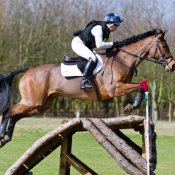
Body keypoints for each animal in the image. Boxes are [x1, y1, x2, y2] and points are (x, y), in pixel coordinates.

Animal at [0, 28, 175, 148]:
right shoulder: (115, 89)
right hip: (32, 101)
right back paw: (2, 136)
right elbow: (139, 87)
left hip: (42, 104)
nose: (172, 65)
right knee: (9, 111)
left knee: (15, 115)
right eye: (164, 45)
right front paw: (130, 107)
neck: (122, 59)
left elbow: (141, 87)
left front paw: (130, 106)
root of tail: (29, 70)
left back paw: (6, 138)